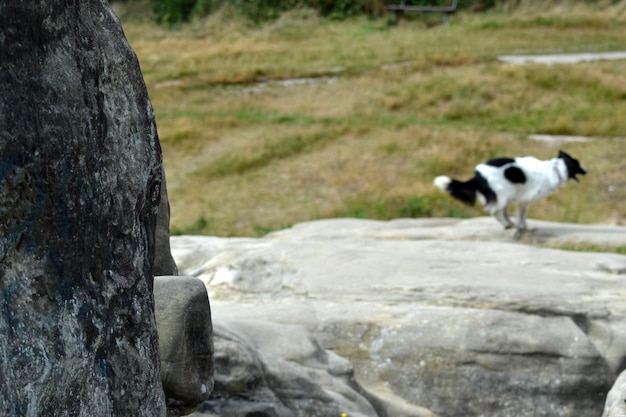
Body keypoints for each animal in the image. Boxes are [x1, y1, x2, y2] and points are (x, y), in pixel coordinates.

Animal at [434, 150, 584, 237]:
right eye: (578, 165)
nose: (587, 171)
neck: (555, 169)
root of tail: (477, 175)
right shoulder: (524, 198)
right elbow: (521, 216)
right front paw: (521, 228)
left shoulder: (521, 199)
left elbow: (519, 215)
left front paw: (521, 227)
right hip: (502, 195)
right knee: (494, 212)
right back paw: (508, 225)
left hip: (503, 196)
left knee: (500, 212)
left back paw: (508, 224)